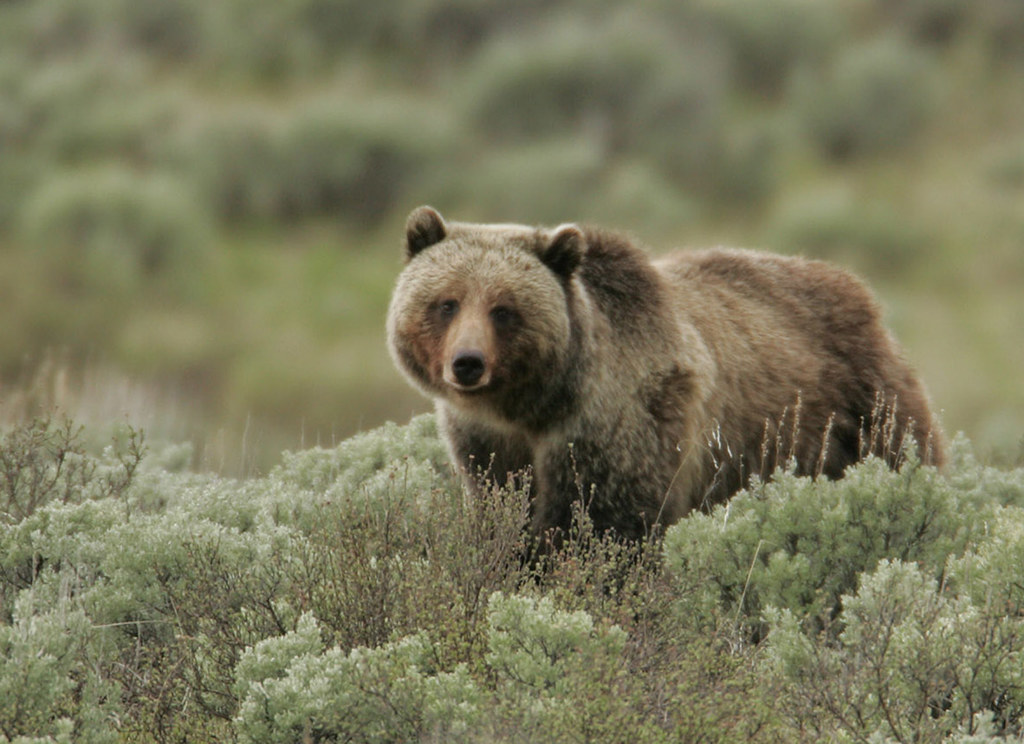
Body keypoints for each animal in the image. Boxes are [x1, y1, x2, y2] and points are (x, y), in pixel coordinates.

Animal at [386, 206, 944, 543]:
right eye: (447, 303)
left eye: (504, 309)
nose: (468, 363)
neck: (534, 405)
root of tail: (861, 293)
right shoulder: (488, 443)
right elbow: (504, 508)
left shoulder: (622, 423)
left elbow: (606, 524)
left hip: (859, 410)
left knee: (901, 451)